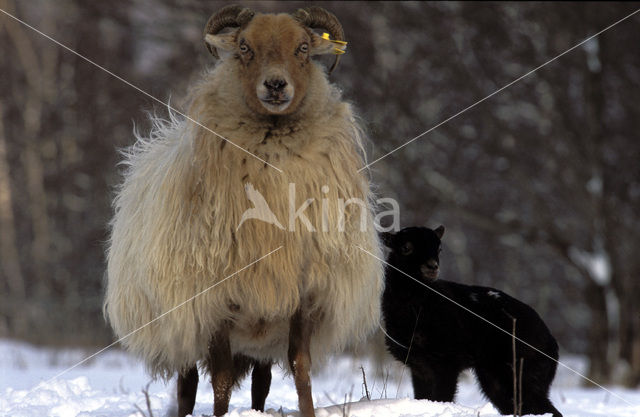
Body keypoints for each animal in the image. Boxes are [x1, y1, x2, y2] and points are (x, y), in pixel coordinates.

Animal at [104, 5, 382, 416]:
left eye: (303, 47)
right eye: (245, 47)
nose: (276, 85)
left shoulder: (301, 292)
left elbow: (301, 368)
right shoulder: (214, 301)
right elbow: (219, 380)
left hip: (261, 331)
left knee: (261, 383)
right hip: (180, 324)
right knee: (187, 385)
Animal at [380, 226, 560, 416]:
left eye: (439, 249)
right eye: (406, 247)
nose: (432, 266)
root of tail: (552, 342)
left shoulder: (447, 363)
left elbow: (442, 397)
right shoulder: (419, 367)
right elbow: (424, 397)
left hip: (521, 374)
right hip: (496, 379)